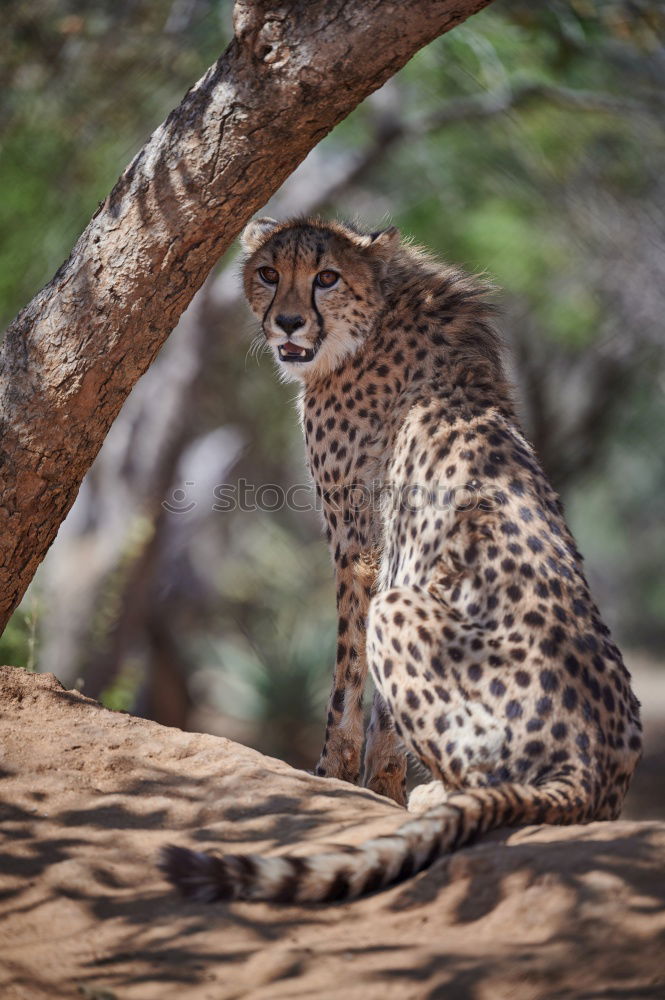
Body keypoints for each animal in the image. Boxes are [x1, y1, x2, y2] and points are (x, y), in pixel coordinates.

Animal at [158, 215, 640, 904]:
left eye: (326, 277)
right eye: (269, 273)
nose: (287, 323)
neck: (374, 319)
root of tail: (595, 767)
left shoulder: (359, 548)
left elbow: (345, 679)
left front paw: (333, 774)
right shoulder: (385, 551)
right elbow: (379, 708)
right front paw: (380, 783)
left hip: (400, 611)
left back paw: (438, 794)